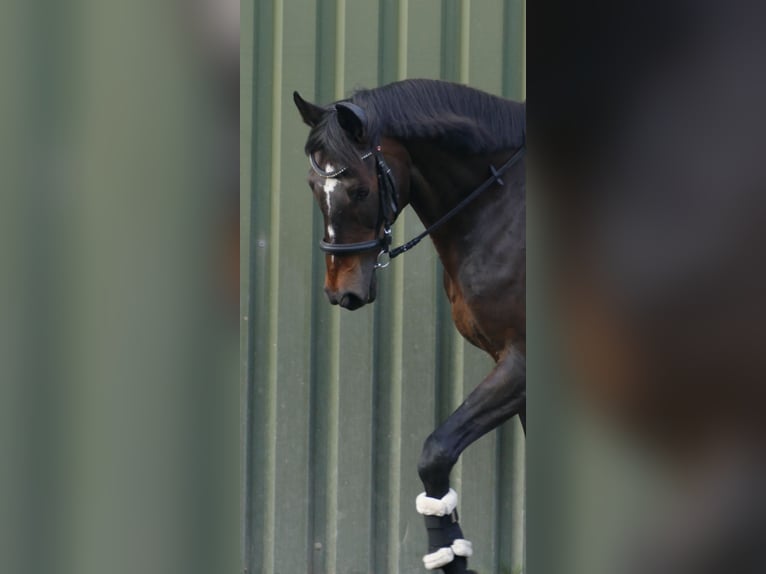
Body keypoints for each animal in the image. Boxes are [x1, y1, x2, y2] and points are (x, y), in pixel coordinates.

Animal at [294, 79, 525, 574]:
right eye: (313, 186)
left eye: (360, 191)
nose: (341, 293)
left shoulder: (520, 362)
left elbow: (435, 452)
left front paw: (451, 557)